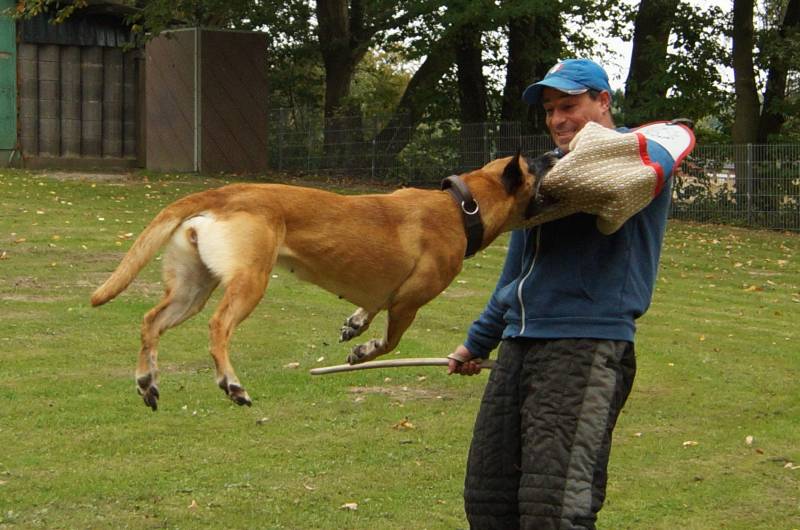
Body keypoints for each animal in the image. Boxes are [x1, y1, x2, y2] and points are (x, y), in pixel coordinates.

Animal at [91, 152, 554, 410]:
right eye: (536, 165)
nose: (553, 151)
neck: (462, 207)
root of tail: (224, 193)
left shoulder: (385, 294)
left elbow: (370, 308)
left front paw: (355, 325)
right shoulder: (407, 303)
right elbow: (390, 342)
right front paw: (364, 349)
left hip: (192, 288)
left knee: (150, 321)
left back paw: (148, 382)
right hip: (249, 281)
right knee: (218, 326)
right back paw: (231, 384)